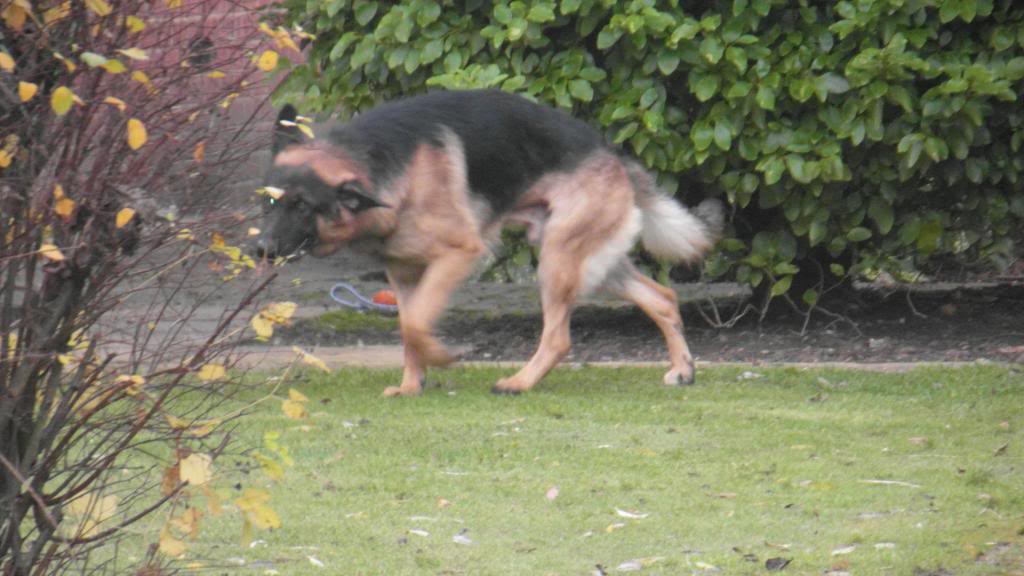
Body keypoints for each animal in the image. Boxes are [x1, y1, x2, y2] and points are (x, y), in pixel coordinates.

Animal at [254, 89, 720, 393]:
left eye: (302, 206)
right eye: (268, 201)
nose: (260, 251)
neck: (380, 166)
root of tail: (613, 153)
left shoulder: (459, 254)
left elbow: (416, 323)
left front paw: (439, 357)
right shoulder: (403, 273)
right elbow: (407, 327)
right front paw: (411, 384)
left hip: (558, 260)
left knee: (559, 338)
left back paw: (520, 382)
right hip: (591, 261)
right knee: (663, 298)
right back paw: (684, 370)